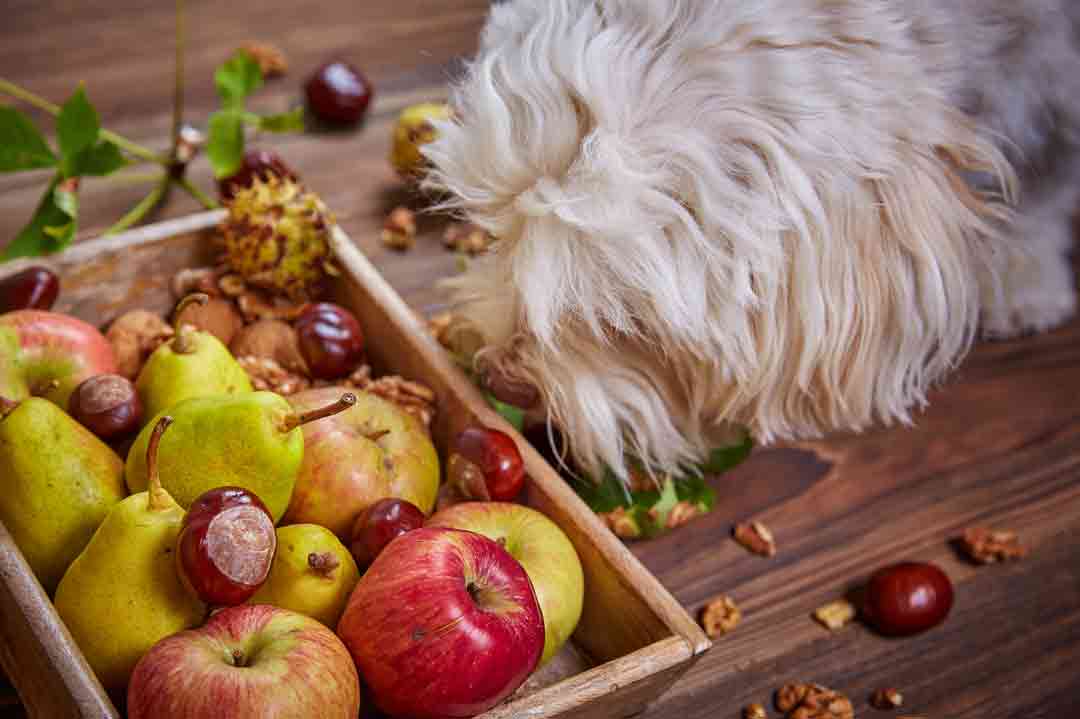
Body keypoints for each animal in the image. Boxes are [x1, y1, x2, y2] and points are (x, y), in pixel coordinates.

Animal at [421, 1, 1080, 481]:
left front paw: (1025, 276)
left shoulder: (1051, 88)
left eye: (625, 320)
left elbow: (1047, 183)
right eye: (497, 232)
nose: (499, 379)